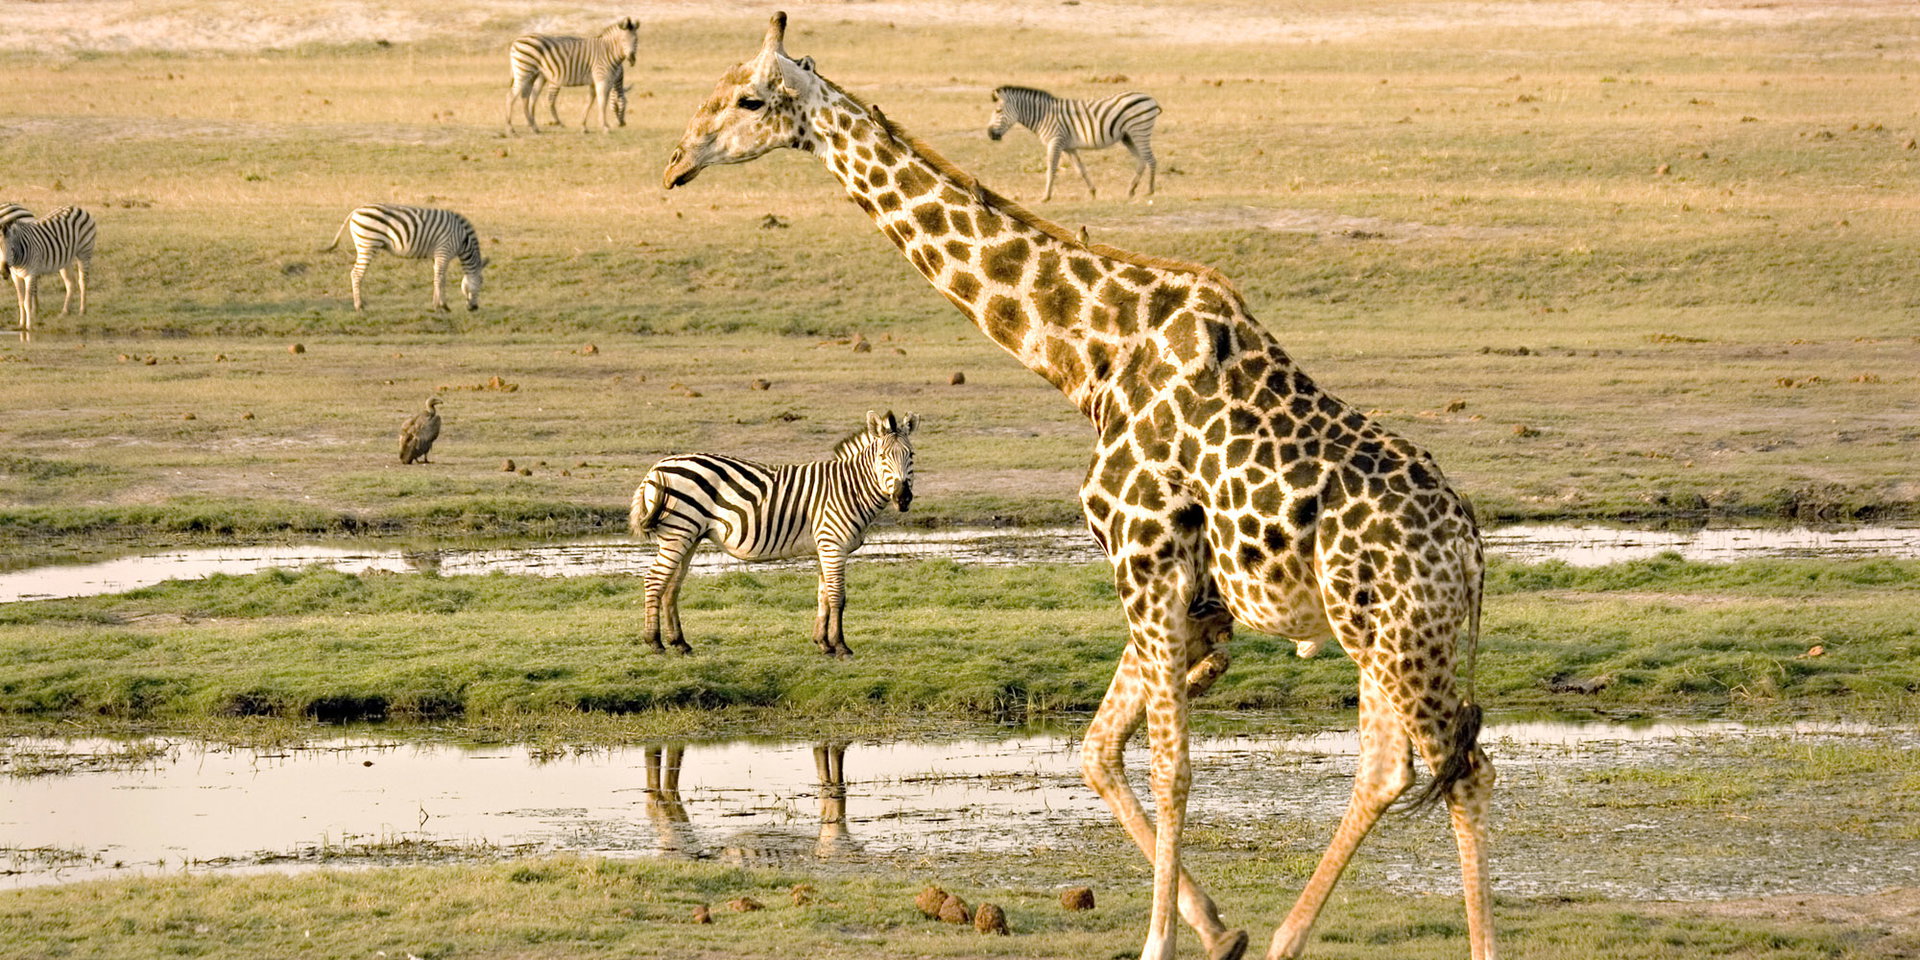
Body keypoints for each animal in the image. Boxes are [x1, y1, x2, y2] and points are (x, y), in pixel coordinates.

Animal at [4, 205, 95, 339]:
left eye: (12, 248)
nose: (4, 270)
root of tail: (77, 208)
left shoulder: (30, 274)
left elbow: (26, 302)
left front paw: (29, 326)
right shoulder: (16, 276)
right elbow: (20, 301)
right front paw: (21, 325)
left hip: (84, 252)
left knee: (83, 281)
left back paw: (82, 311)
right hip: (65, 258)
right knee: (70, 283)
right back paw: (65, 312)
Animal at [323, 204, 485, 312]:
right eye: (481, 283)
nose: (475, 308)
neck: (463, 240)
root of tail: (356, 210)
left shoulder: (437, 255)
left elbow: (438, 278)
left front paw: (437, 304)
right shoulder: (443, 251)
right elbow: (440, 279)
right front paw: (442, 306)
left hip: (363, 244)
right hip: (368, 244)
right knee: (356, 274)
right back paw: (359, 306)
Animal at [504, 19, 640, 135]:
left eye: (636, 40)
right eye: (623, 40)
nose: (632, 59)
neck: (608, 52)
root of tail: (516, 41)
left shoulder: (594, 82)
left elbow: (589, 102)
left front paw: (584, 127)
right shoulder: (602, 79)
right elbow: (602, 102)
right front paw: (605, 127)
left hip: (532, 75)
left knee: (526, 97)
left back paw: (534, 127)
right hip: (523, 72)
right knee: (511, 97)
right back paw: (511, 129)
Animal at [629, 410, 917, 658]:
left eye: (911, 454)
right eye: (882, 457)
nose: (903, 498)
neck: (850, 489)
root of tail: (657, 468)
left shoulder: (824, 547)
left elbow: (823, 595)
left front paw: (823, 643)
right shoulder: (833, 545)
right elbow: (838, 597)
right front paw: (841, 646)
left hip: (689, 536)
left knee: (671, 586)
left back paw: (680, 643)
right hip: (678, 532)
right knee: (654, 580)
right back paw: (654, 642)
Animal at [986, 85, 1161, 201]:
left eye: (998, 111)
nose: (989, 134)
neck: (1043, 116)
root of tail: (1150, 98)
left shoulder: (1055, 141)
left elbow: (1051, 169)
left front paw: (1046, 197)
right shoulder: (1068, 147)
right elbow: (1080, 169)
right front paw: (1092, 192)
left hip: (1139, 131)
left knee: (1151, 159)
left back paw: (1150, 190)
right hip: (1128, 136)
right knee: (1142, 159)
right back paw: (1131, 190)